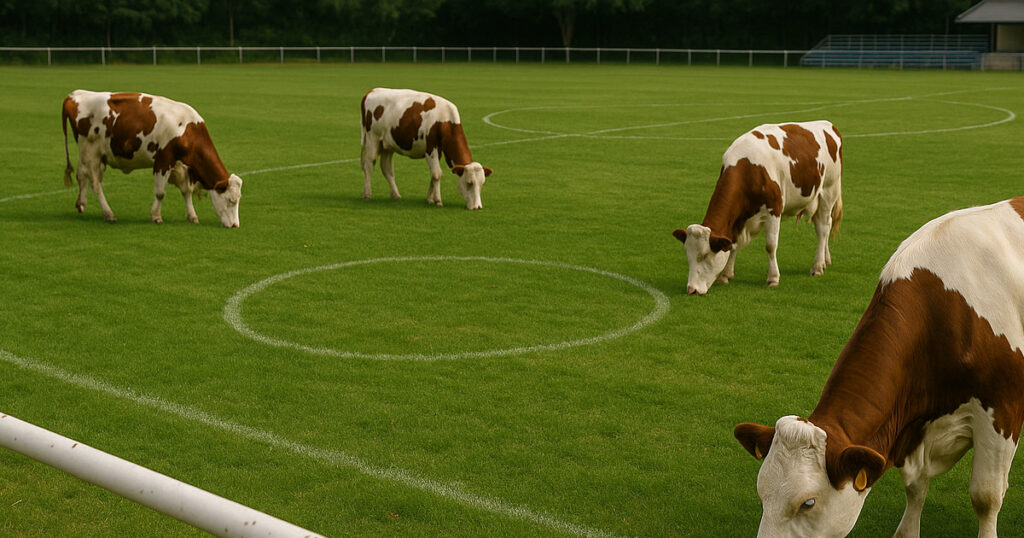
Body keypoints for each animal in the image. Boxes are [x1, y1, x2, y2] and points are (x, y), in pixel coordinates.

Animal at [61, 90, 242, 227]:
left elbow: (187, 191)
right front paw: (156, 216)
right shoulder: (163, 160)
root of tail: (76, 94)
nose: (235, 225)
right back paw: (108, 213)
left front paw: (192, 216)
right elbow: (160, 192)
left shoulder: (181, 165)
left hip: (89, 154)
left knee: (81, 175)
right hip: (91, 153)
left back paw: (81, 204)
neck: (188, 128)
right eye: (231, 200)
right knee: (95, 184)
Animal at [360, 88, 493, 210]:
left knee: (386, 168)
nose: (477, 207)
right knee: (369, 164)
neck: (445, 121)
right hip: (372, 138)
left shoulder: (439, 151)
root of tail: (373, 91)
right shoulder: (431, 149)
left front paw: (429, 199)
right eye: (469, 183)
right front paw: (438, 200)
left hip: (388, 144)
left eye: (482, 183)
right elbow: (437, 173)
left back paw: (396, 194)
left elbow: (433, 174)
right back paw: (367, 194)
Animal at [672, 121, 843, 294]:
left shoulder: (774, 209)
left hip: (829, 190)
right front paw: (726, 274)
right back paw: (825, 260)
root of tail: (827, 124)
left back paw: (817, 266)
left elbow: (770, 246)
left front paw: (773, 278)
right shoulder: (738, 218)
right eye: (687, 255)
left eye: (706, 255)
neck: (748, 168)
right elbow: (733, 244)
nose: (691, 289)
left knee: (823, 228)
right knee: (824, 225)